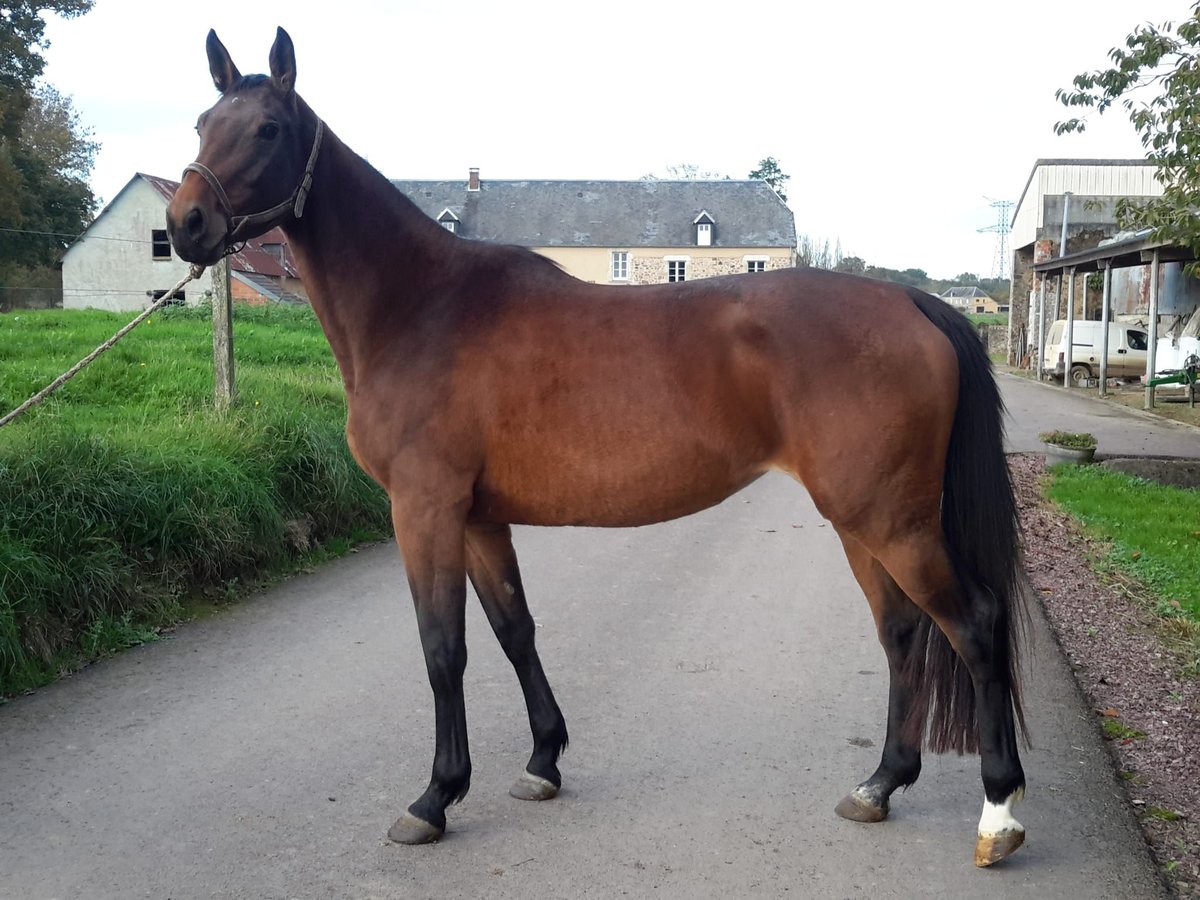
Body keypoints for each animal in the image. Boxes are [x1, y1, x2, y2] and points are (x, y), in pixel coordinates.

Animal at [166, 28, 1032, 868]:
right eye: (204, 123)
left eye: (267, 128)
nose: (184, 225)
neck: (423, 306)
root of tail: (912, 302)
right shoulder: (479, 518)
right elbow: (515, 631)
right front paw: (542, 762)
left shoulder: (424, 509)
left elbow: (443, 650)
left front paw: (435, 798)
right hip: (864, 522)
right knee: (903, 632)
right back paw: (880, 784)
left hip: (890, 519)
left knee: (974, 624)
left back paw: (997, 812)